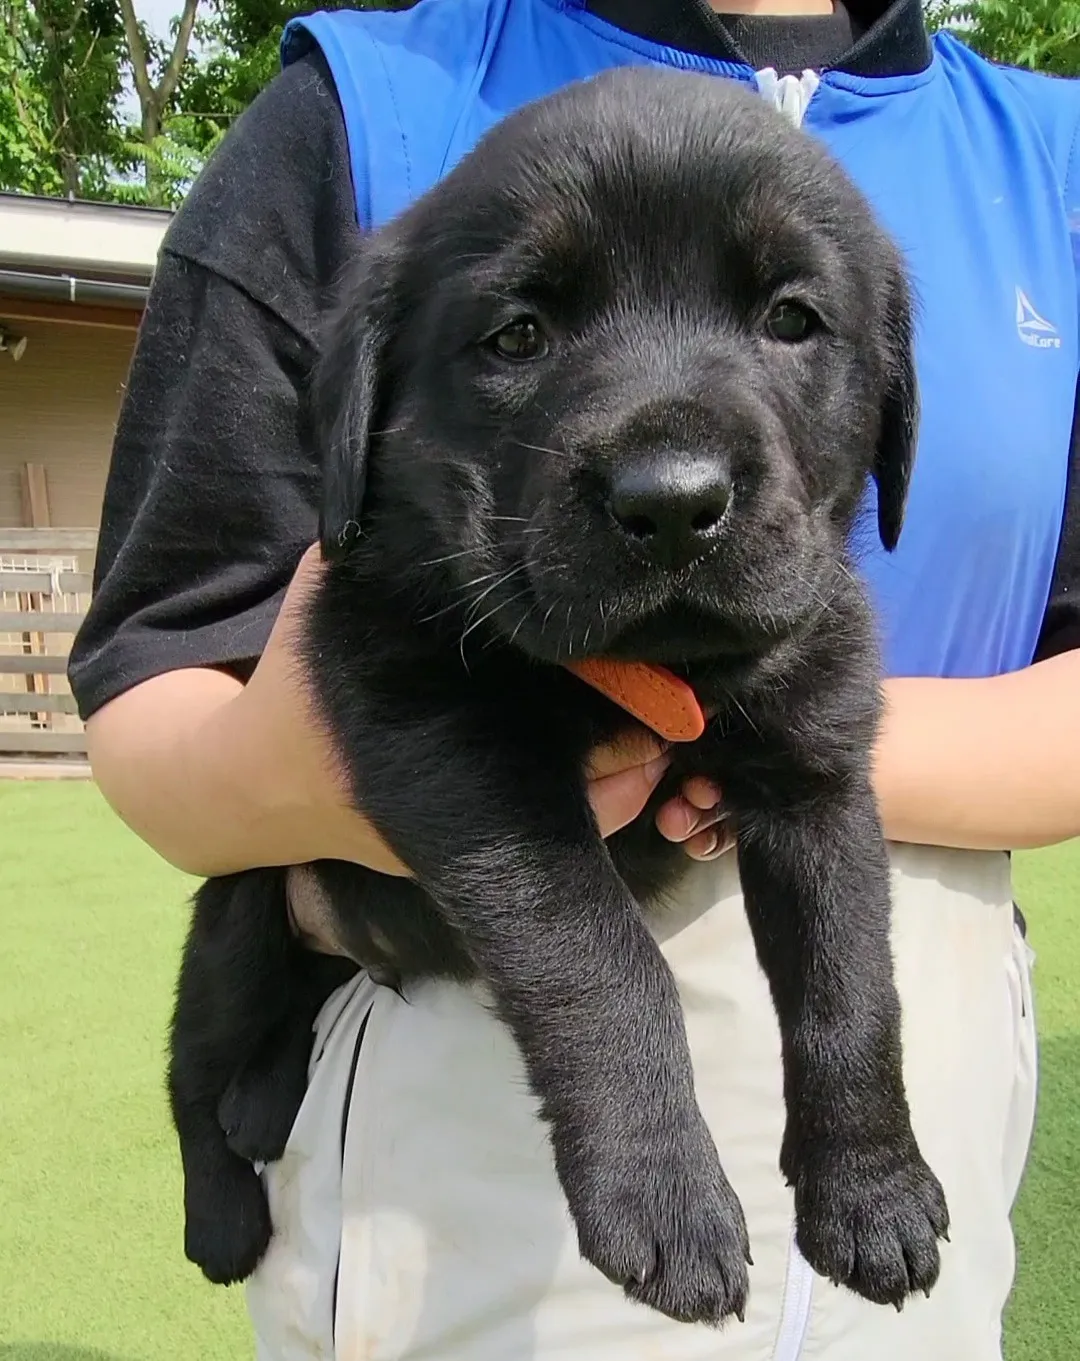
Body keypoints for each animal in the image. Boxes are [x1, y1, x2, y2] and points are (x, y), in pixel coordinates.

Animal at [165, 66, 941, 1328]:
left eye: (792, 319)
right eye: (519, 334)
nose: (670, 501)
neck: (662, 665)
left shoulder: (819, 772)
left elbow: (851, 987)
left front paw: (874, 1191)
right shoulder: (446, 738)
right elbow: (604, 959)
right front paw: (664, 1198)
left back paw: (262, 1107)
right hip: (239, 907)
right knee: (192, 1063)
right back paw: (221, 1207)